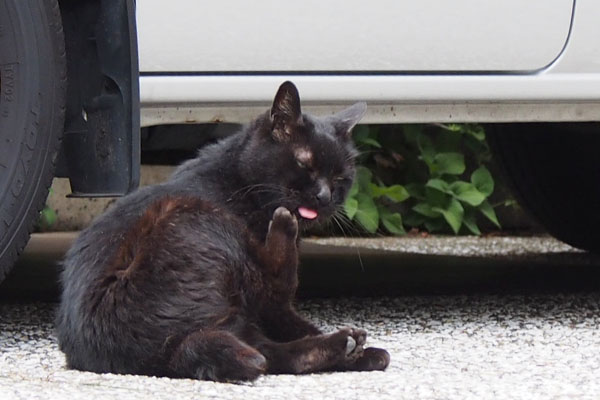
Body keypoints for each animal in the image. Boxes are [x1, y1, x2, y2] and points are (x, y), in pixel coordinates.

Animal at [56, 81, 392, 382]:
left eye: (340, 178)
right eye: (304, 163)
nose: (323, 196)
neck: (241, 186)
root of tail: (165, 355)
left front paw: (361, 351)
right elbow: (281, 306)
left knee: (266, 352)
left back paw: (352, 349)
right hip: (197, 219)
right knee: (272, 296)